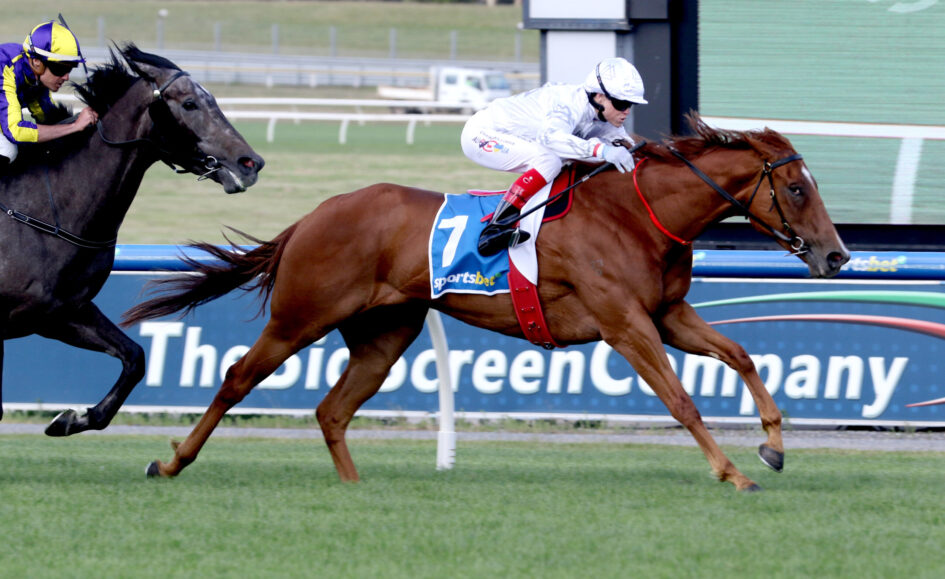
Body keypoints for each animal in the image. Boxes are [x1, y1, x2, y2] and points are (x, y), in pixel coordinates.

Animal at [0, 44, 263, 436]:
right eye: (189, 103)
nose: (251, 163)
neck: (44, 211)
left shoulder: (63, 312)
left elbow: (135, 357)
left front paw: (72, 418)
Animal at [122, 114, 849, 492]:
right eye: (795, 188)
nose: (837, 256)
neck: (636, 214)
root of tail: (313, 215)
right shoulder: (624, 322)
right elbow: (681, 399)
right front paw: (733, 471)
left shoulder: (667, 315)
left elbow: (741, 355)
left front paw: (773, 445)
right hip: (301, 315)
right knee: (237, 378)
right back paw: (171, 461)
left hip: (385, 333)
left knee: (332, 408)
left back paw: (355, 486)